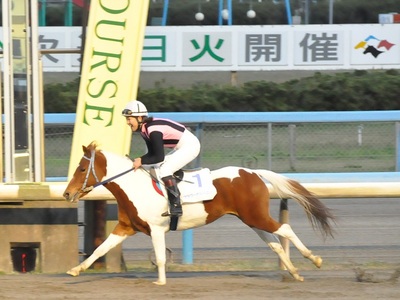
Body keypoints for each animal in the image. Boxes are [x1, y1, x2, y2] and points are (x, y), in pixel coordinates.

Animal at [64, 142, 336, 284]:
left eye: (81, 169)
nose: (67, 194)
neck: (133, 186)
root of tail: (253, 172)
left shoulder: (156, 229)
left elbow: (160, 257)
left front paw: (160, 281)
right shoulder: (125, 227)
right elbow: (99, 248)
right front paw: (76, 270)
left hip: (256, 216)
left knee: (286, 229)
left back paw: (315, 259)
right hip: (252, 219)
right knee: (276, 244)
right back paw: (295, 273)